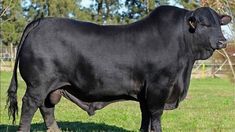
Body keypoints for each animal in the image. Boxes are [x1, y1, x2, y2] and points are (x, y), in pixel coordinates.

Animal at [6, 5, 231, 131]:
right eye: (204, 24)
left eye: (219, 24)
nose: (223, 42)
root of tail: (41, 22)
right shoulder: (158, 88)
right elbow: (155, 117)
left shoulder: (144, 92)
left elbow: (145, 118)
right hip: (38, 85)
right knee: (29, 107)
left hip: (53, 87)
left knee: (47, 109)